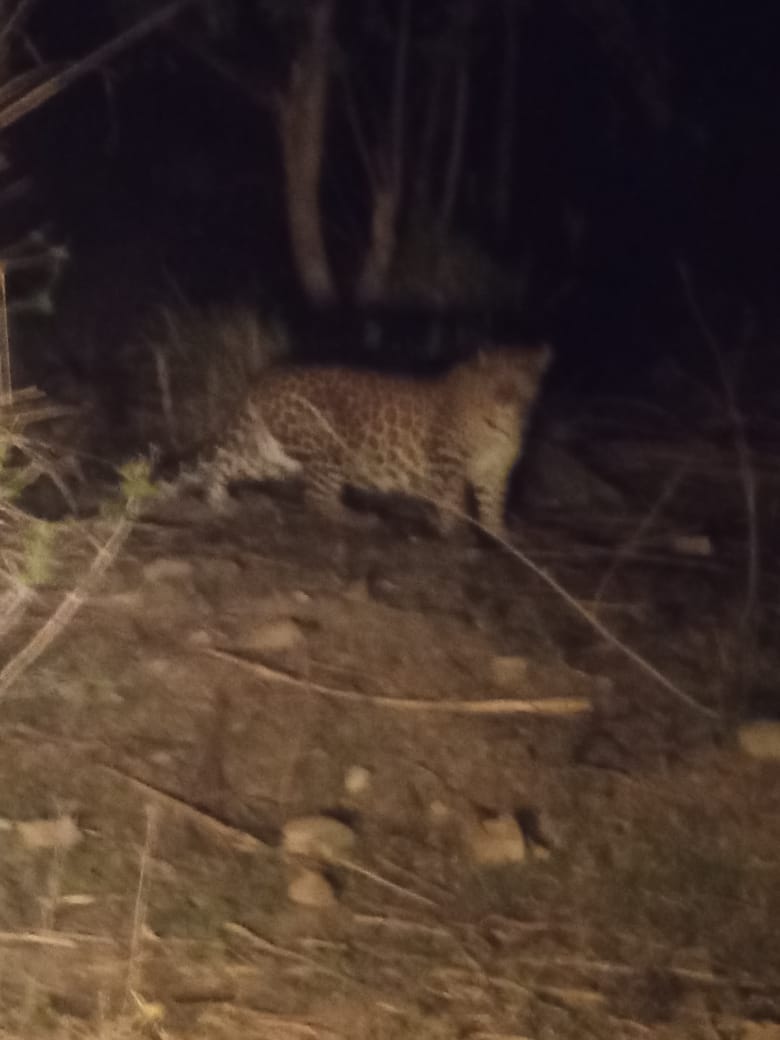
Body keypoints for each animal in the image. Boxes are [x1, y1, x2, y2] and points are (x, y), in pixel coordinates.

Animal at [178, 343, 553, 536]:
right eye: (497, 382)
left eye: (523, 381)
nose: (509, 400)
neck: (501, 425)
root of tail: (263, 379)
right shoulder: (446, 462)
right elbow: (453, 499)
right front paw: (454, 533)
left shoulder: (495, 472)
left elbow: (493, 505)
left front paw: (499, 536)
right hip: (325, 446)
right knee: (318, 500)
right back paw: (360, 519)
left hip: (271, 452)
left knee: (226, 463)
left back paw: (219, 501)